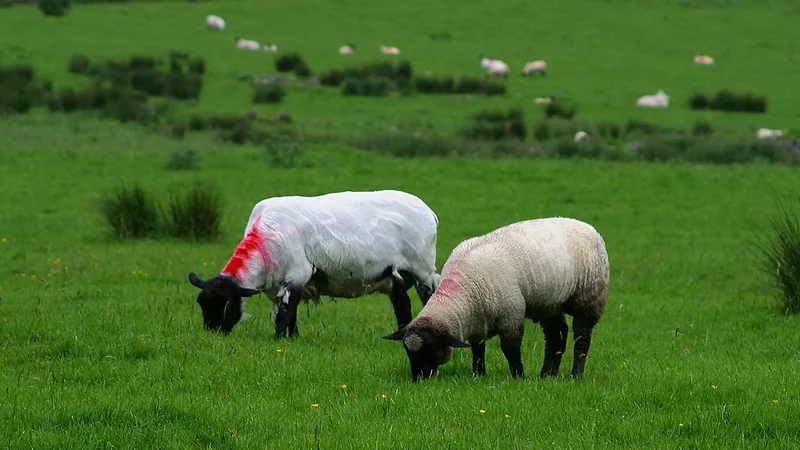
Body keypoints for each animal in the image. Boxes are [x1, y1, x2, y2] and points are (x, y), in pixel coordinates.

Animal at [188, 190, 442, 339]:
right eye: (201, 304)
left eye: (227, 305)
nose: (213, 334)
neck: (264, 239)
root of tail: (429, 211)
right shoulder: (280, 284)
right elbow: (290, 315)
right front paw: (292, 339)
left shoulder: (297, 275)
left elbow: (285, 314)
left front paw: (278, 340)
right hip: (395, 276)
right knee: (402, 303)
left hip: (422, 268)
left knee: (429, 297)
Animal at [384, 217, 610, 382]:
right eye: (407, 350)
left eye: (431, 348)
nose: (418, 379)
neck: (463, 289)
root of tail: (588, 227)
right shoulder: (477, 320)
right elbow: (478, 350)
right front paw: (478, 374)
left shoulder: (511, 316)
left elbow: (510, 349)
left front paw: (519, 377)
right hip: (550, 302)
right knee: (557, 335)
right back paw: (547, 375)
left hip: (590, 297)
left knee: (582, 336)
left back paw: (576, 375)